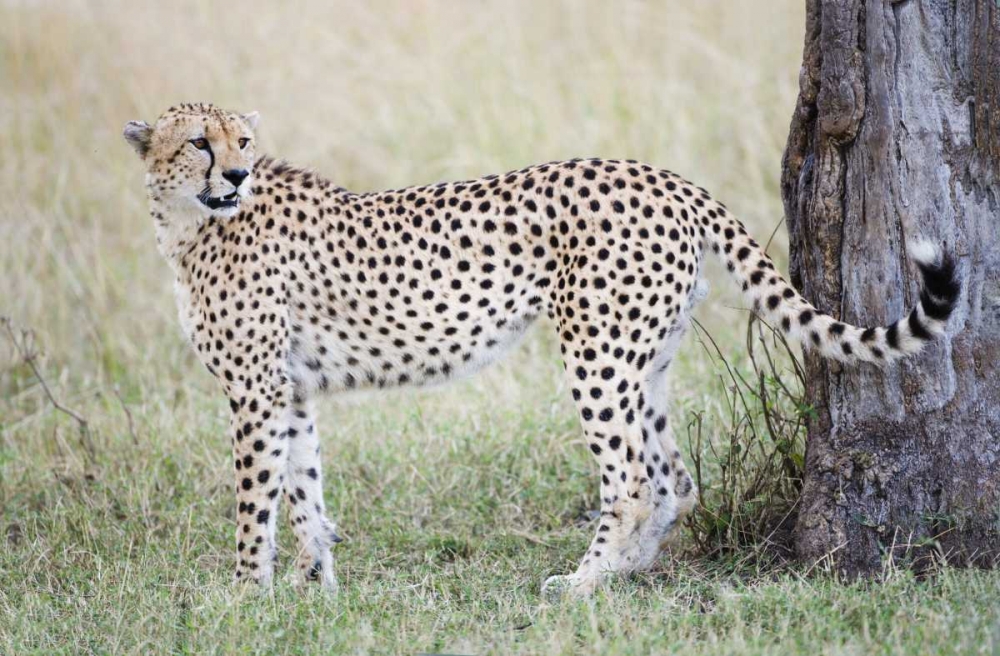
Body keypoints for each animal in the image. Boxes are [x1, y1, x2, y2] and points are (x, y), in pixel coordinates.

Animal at [123, 103, 960, 598]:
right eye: (199, 142)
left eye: (242, 142)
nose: (236, 173)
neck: (192, 220)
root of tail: (666, 177)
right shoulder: (289, 388)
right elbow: (304, 488)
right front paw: (315, 584)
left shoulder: (256, 391)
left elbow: (254, 498)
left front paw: (246, 592)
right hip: (644, 360)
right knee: (675, 476)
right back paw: (621, 573)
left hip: (597, 354)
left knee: (631, 479)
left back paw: (581, 585)